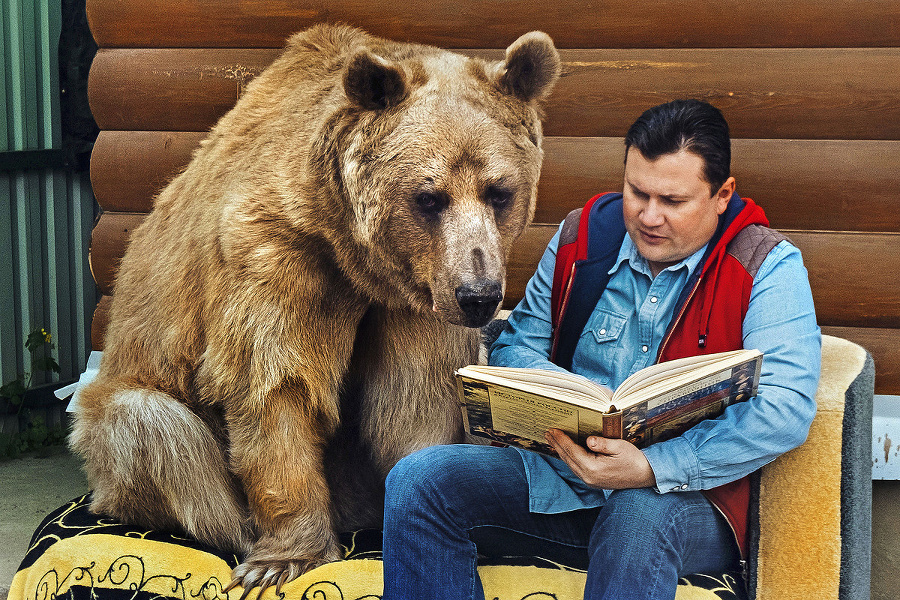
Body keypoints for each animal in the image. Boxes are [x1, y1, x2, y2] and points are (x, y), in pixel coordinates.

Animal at [70, 22, 560, 592]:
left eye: (499, 192)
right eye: (429, 196)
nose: (478, 296)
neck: (351, 252)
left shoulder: (417, 298)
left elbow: (414, 394)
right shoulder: (274, 251)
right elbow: (273, 380)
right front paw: (283, 557)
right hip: (127, 404)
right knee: (154, 429)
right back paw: (240, 531)